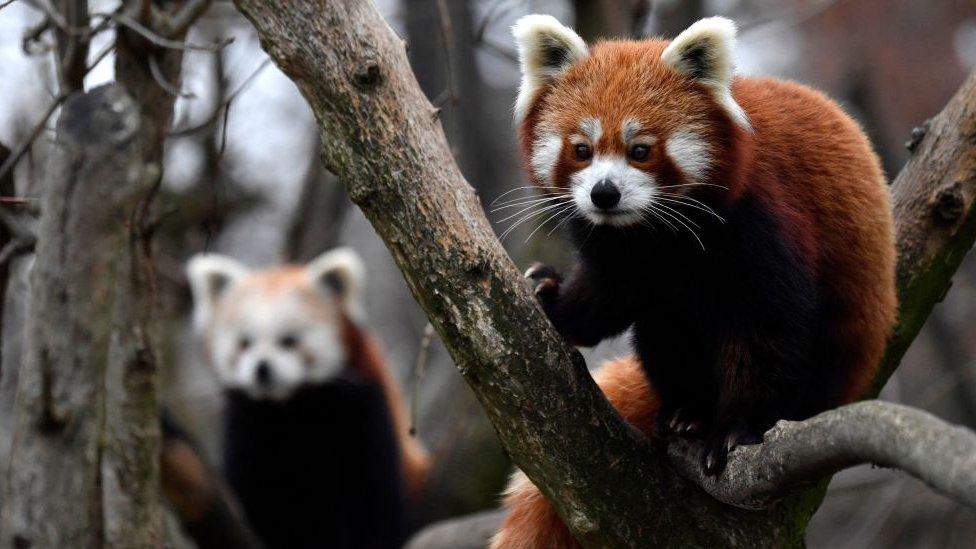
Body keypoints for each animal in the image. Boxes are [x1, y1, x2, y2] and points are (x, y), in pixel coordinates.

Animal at [187, 249, 430, 548]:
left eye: (289, 341)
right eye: (244, 344)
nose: (262, 369)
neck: (290, 407)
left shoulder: (362, 409)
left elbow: (370, 499)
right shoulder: (246, 421)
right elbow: (248, 485)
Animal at [496, 11, 900, 544]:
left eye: (640, 149)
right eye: (581, 150)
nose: (605, 193)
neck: (655, 236)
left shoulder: (759, 222)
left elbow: (768, 329)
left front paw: (736, 430)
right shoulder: (618, 249)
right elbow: (611, 294)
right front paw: (553, 297)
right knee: (663, 329)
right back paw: (687, 412)